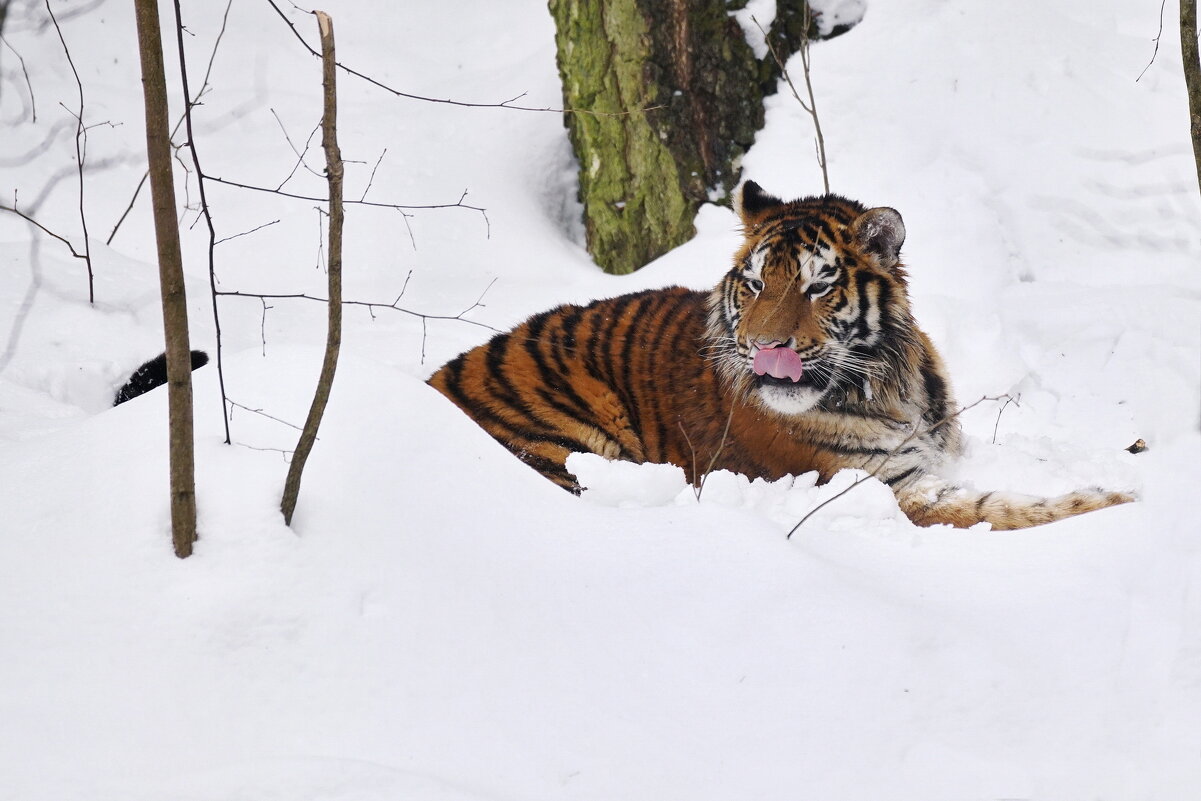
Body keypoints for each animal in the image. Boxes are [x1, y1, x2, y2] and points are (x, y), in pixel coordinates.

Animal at [432, 182, 1133, 533]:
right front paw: (1119, 498)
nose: (766, 347)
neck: (893, 385)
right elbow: (1002, 509)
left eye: (818, 286)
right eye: (754, 283)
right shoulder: (881, 485)